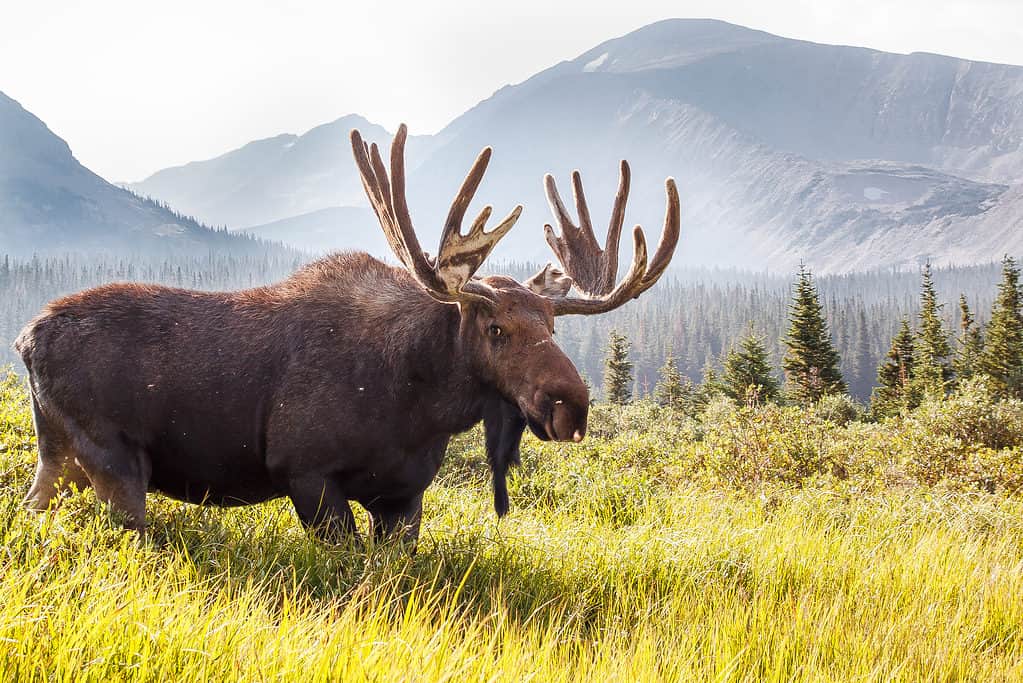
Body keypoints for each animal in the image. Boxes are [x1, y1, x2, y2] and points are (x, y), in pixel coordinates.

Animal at [14, 125, 679, 543]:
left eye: (551, 325)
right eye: (495, 328)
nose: (572, 405)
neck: (422, 404)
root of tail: (25, 340)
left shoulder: (404, 496)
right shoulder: (305, 472)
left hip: (59, 455)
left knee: (31, 508)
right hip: (114, 457)